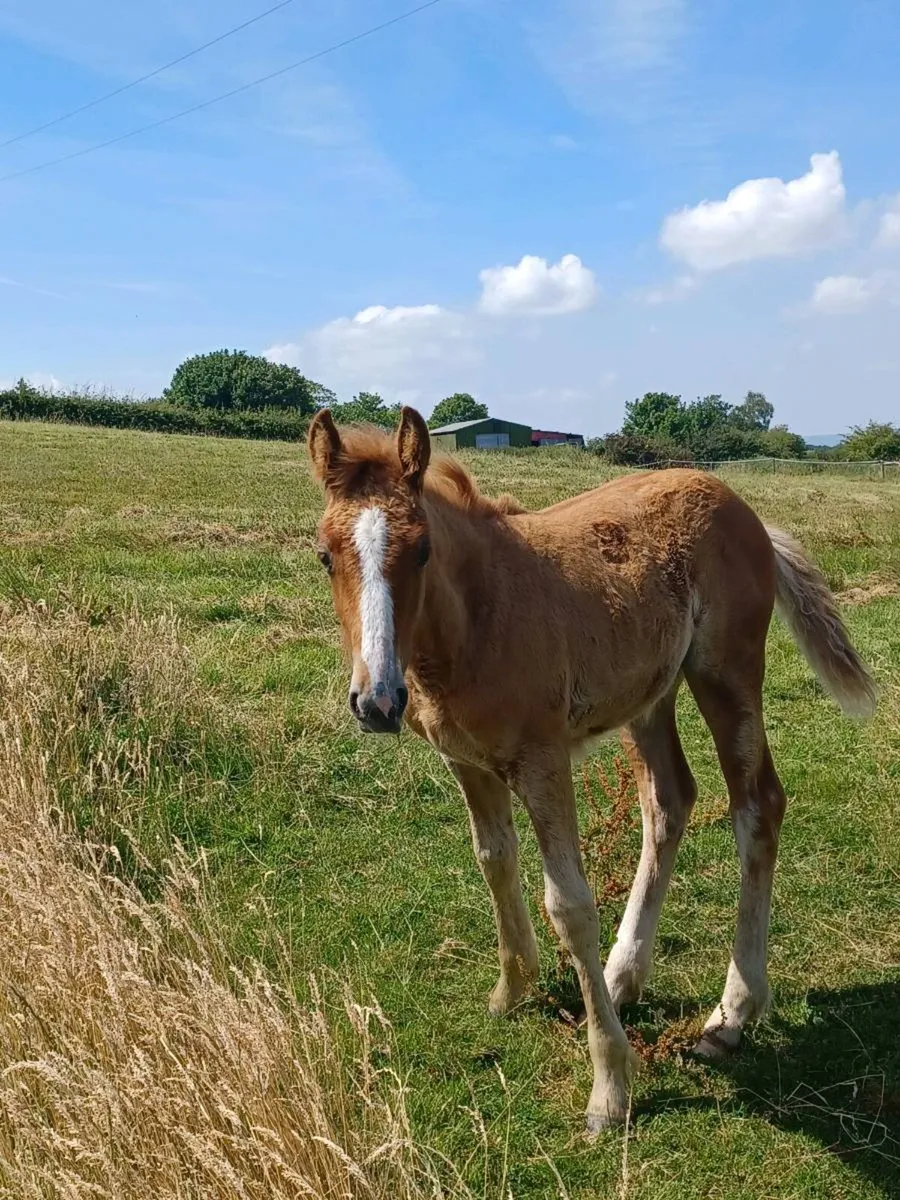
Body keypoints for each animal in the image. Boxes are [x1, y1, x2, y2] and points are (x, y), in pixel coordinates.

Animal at [307, 405, 876, 1133]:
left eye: (424, 550)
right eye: (325, 555)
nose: (376, 702)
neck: (477, 620)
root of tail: (741, 505)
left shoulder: (544, 762)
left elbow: (570, 905)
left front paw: (610, 1090)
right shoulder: (467, 762)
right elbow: (493, 860)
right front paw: (512, 989)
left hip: (727, 674)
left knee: (758, 808)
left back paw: (731, 1014)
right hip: (648, 697)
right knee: (669, 801)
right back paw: (620, 976)